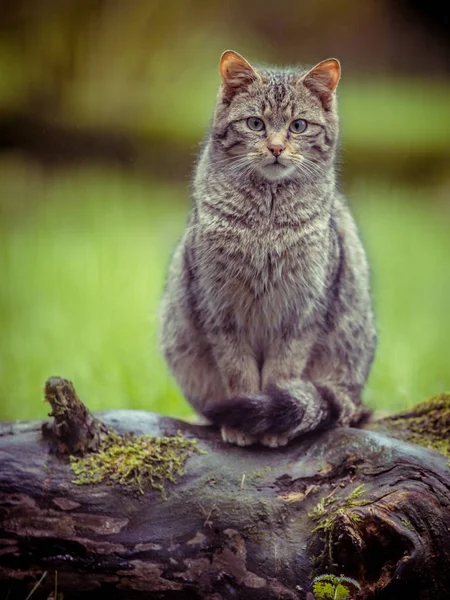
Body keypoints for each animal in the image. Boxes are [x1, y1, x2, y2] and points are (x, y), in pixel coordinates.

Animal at [159, 50, 376, 446]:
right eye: (256, 124)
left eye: (299, 126)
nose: (276, 148)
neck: (266, 224)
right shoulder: (221, 311)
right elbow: (240, 375)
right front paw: (242, 423)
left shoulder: (300, 314)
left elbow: (281, 374)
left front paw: (273, 426)